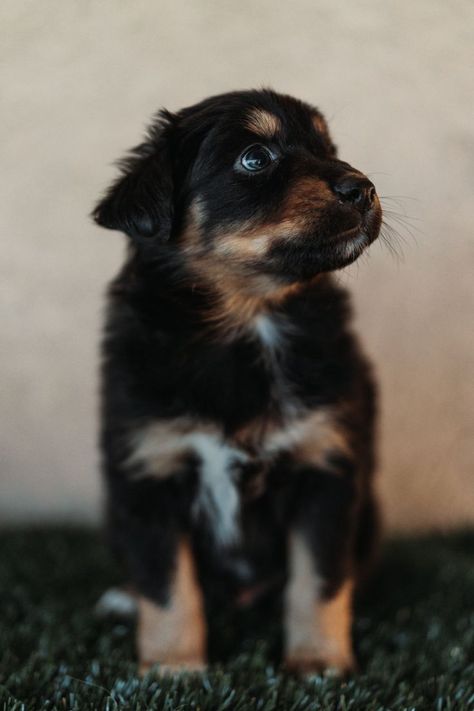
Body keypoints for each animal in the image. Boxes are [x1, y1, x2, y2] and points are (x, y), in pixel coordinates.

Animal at [91, 89, 382, 680]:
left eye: (329, 148)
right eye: (255, 158)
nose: (363, 188)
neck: (249, 319)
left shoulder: (326, 465)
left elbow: (318, 580)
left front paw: (318, 663)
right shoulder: (148, 471)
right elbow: (167, 585)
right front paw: (173, 669)